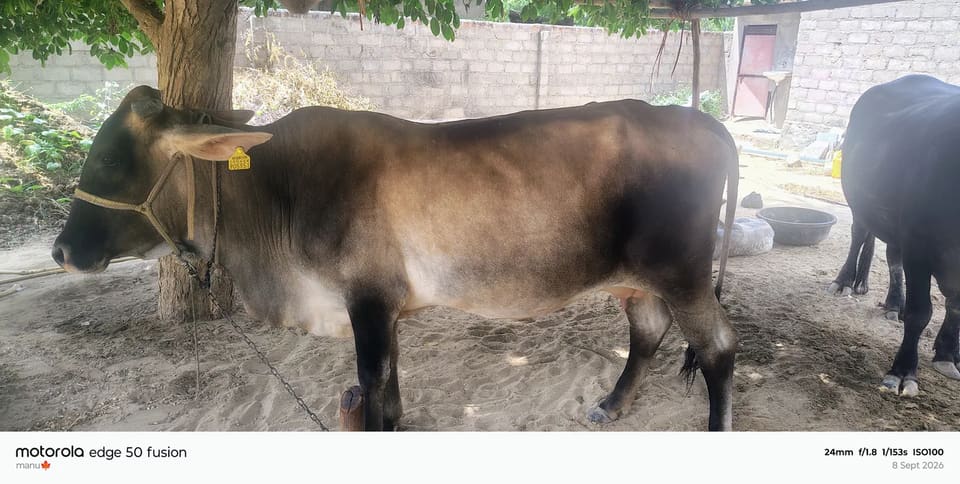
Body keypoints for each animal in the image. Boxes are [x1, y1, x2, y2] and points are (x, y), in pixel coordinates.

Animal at [52, 86, 740, 430]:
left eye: (109, 159)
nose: (61, 250)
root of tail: (703, 122)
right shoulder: (385, 306)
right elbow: (389, 380)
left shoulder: (367, 299)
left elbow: (372, 378)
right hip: (642, 279)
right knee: (648, 333)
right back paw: (611, 405)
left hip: (683, 272)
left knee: (717, 349)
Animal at [829, 74, 960, 397]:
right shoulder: (919, 247)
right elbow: (920, 312)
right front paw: (901, 372)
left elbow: (955, 306)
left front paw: (948, 354)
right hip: (859, 201)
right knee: (860, 234)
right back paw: (844, 282)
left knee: (892, 256)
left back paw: (893, 302)